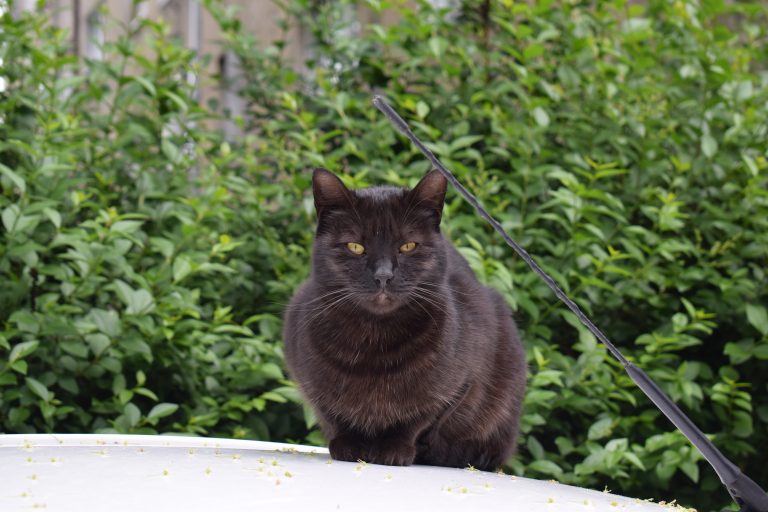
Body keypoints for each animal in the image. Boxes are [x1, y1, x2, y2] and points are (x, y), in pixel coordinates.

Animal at [284, 169, 528, 472]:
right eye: (355, 246)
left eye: (408, 246)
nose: (383, 275)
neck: (373, 342)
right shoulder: (308, 378)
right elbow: (333, 413)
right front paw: (349, 445)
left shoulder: (461, 384)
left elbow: (418, 419)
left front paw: (393, 450)